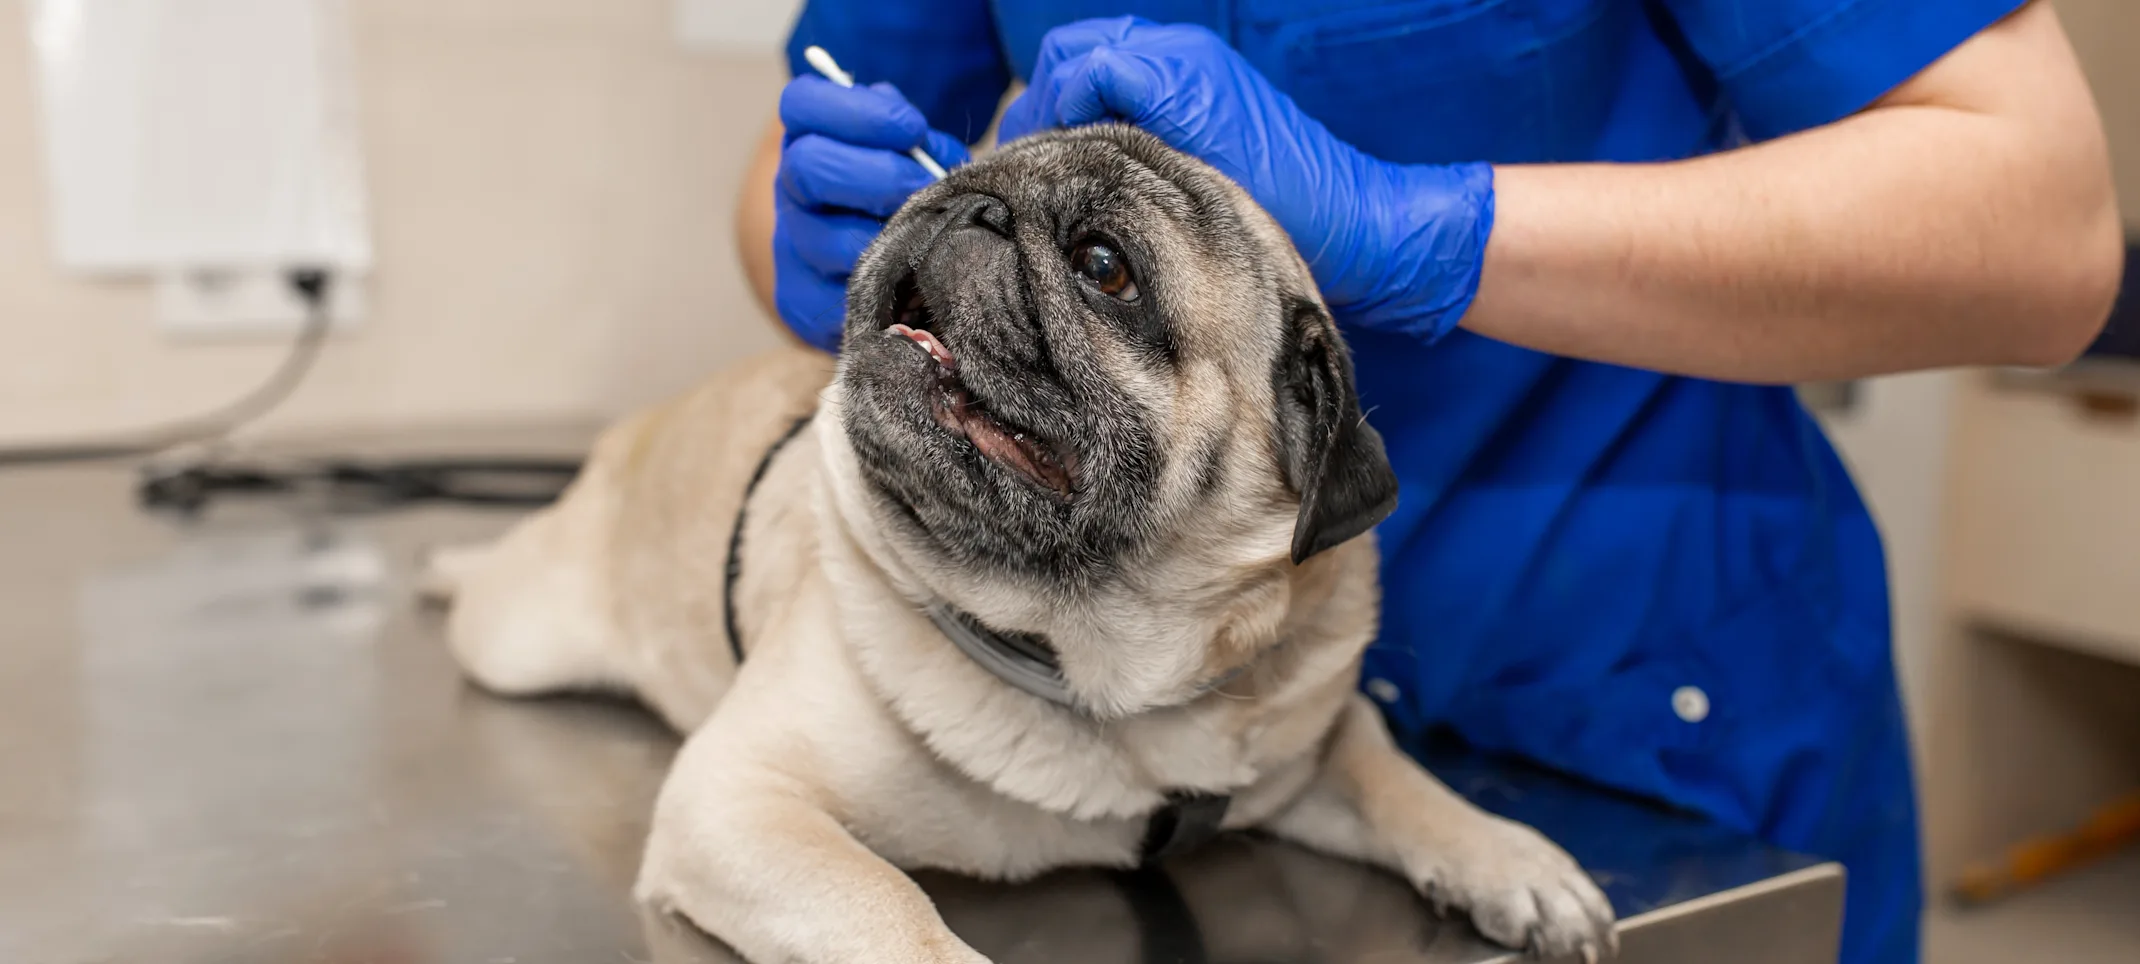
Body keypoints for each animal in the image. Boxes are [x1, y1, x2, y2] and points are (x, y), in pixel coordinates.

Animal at [425, 124, 1609, 959]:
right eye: (942, 175)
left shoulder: (1310, 738)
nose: (968, 203)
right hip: (520, 637)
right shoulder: (737, 799)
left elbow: (1392, 774)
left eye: (1103, 265)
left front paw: (1507, 855)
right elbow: (886, 902)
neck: (1094, 667)